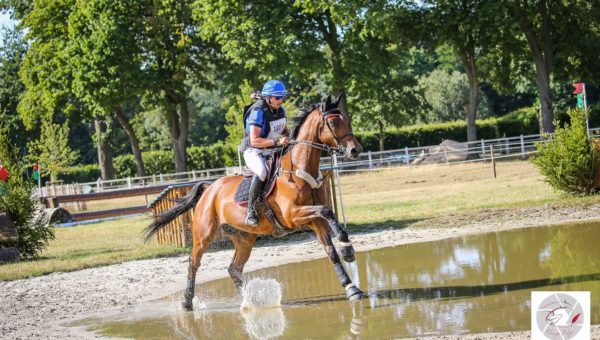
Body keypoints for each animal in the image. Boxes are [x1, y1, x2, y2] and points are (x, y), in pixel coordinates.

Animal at [144, 93, 366, 310]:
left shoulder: (315, 221)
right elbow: (326, 210)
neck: (300, 171)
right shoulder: (293, 215)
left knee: (234, 269)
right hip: (203, 234)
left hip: (244, 238)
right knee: (193, 262)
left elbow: (330, 249)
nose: (356, 150)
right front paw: (347, 247)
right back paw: (187, 302)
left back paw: (251, 299)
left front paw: (351, 286)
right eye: (334, 122)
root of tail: (210, 187)